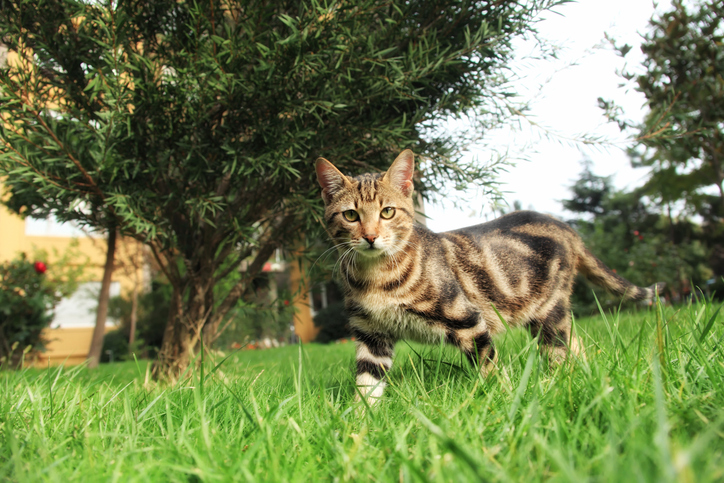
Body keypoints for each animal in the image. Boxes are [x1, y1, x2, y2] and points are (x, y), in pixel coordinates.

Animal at [314, 149, 664, 402]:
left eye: (387, 212)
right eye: (350, 215)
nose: (371, 237)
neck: (376, 277)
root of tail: (565, 227)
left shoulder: (469, 321)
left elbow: (490, 368)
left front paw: (502, 401)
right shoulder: (371, 336)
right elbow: (366, 386)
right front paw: (359, 429)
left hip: (549, 314)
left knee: (560, 352)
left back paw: (558, 383)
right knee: (575, 345)